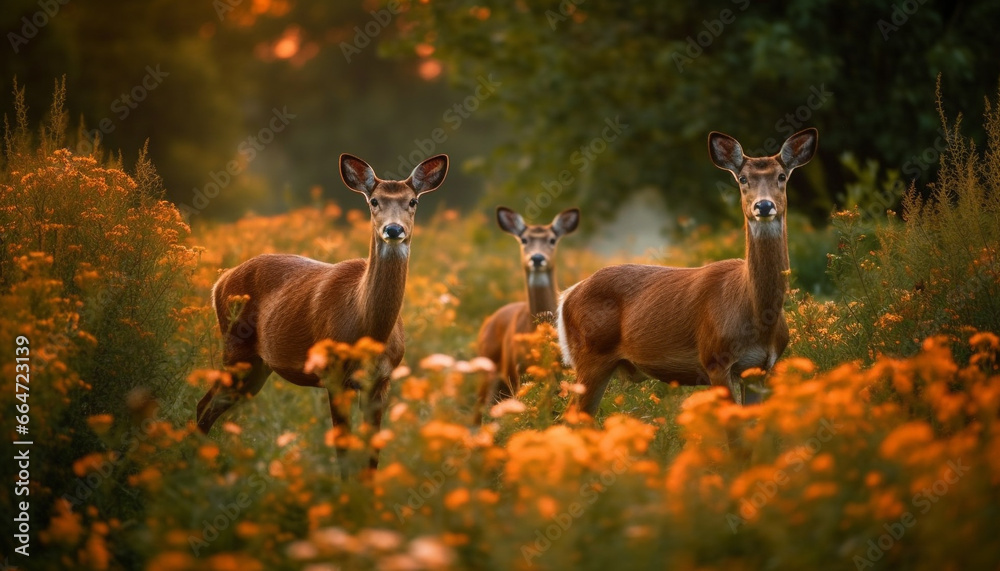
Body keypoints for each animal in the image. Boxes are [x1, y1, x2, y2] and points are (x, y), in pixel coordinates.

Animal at [195, 153, 446, 474]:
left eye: (413, 201)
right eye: (374, 201)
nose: (393, 229)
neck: (367, 328)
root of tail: (219, 282)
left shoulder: (381, 380)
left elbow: (371, 457)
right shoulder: (334, 375)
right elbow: (343, 452)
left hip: (257, 368)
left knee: (208, 405)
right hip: (235, 350)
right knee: (205, 406)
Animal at [560, 127, 816, 426]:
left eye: (782, 176)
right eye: (742, 179)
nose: (763, 206)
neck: (755, 313)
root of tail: (567, 295)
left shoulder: (761, 369)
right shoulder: (715, 359)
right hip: (590, 354)